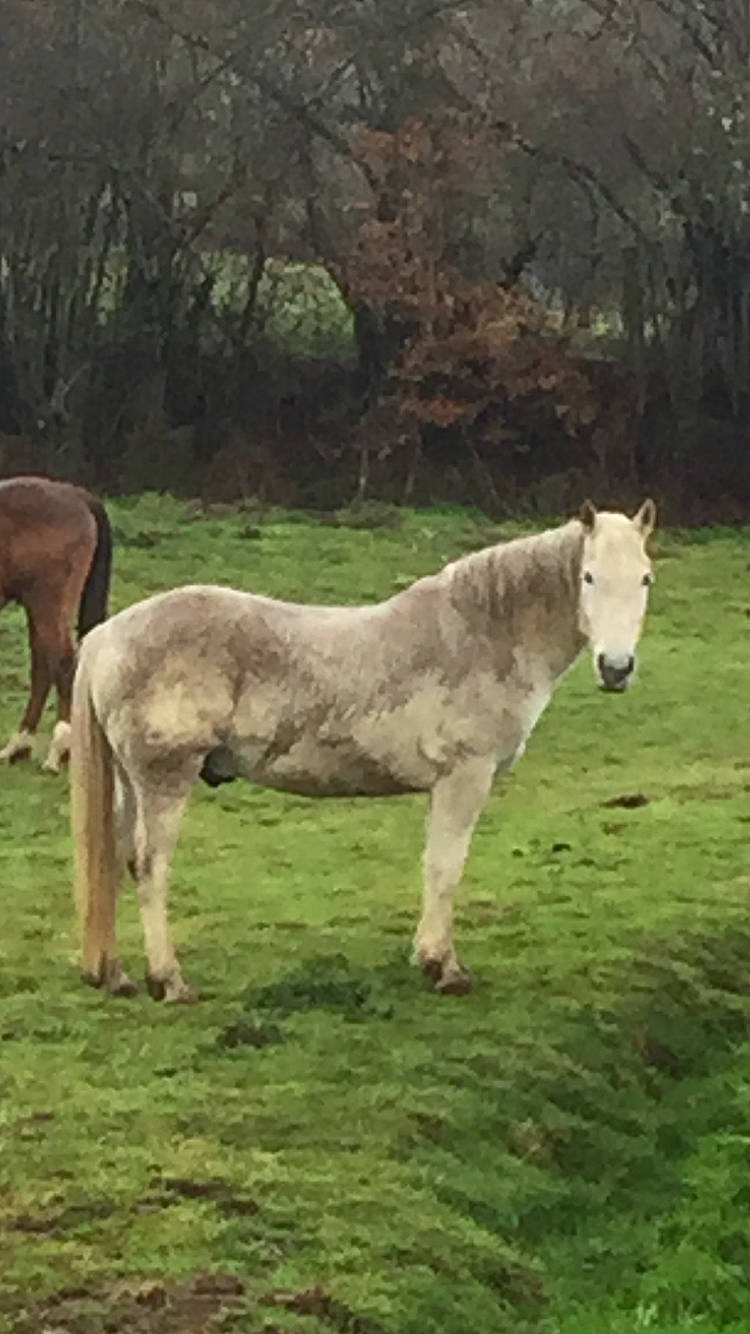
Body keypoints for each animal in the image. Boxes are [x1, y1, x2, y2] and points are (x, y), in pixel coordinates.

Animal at [0, 475, 112, 773]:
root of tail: (75, 495)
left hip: (47, 601)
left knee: (63, 664)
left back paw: (58, 750)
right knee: (42, 666)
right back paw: (19, 744)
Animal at [70, 499, 656, 1002]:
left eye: (646, 578)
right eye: (589, 576)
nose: (616, 668)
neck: (483, 633)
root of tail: (104, 637)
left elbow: (433, 864)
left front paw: (427, 957)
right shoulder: (465, 777)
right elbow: (446, 867)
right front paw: (444, 967)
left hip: (129, 783)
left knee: (114, 859)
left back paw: (116, 975)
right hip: (164, 780)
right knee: (150, 866)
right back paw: (169, 980)